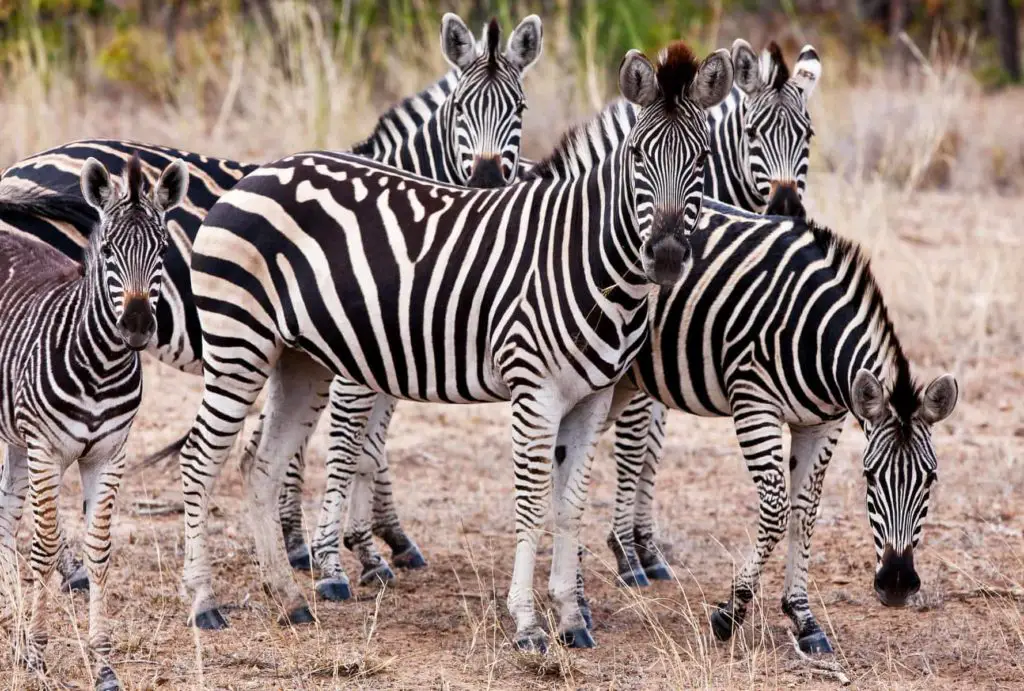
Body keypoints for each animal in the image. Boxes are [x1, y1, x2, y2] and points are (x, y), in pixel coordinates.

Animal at [0, 10, 544, 585]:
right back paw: (70, 568)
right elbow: (351, 448)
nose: (486, 179)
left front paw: (326, 542)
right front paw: (348, 552)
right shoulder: (357, 352)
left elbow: (338, 446)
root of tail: (20, 167)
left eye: (520, 108)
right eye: (460, 108)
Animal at [0, 156, 188, 691]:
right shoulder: (47, 451)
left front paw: (103, 663)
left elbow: (99, 550)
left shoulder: (109, 455)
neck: (101, 367)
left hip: (18, 441)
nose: (138, 326)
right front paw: (38, 652)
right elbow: (45, 548)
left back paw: (12, 627)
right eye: (107, 251)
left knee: (4, 516)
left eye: (163, 250)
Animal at [176, 43, 733, 655]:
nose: (666, 256)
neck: (582, 256)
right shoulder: (534, 391)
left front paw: (571, 619)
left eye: (702, 158)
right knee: (201, 458)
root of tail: (255, 176)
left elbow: (570, 508)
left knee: (262, 465)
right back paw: (204, 604)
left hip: (297, 360)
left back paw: (289, 598)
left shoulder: (592, 398)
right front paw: (528, 625)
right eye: (637, 155)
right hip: (238, 343)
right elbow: (531, 505)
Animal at [606, 201, 958, 655]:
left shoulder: (824, 423)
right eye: (869, 476)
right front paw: (730, 613)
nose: (896, 584)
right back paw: (623, 562)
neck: (816, 337)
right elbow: (775, 511)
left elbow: (804, 512)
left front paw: (803, 617)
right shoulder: (755, 404)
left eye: (931, 479)